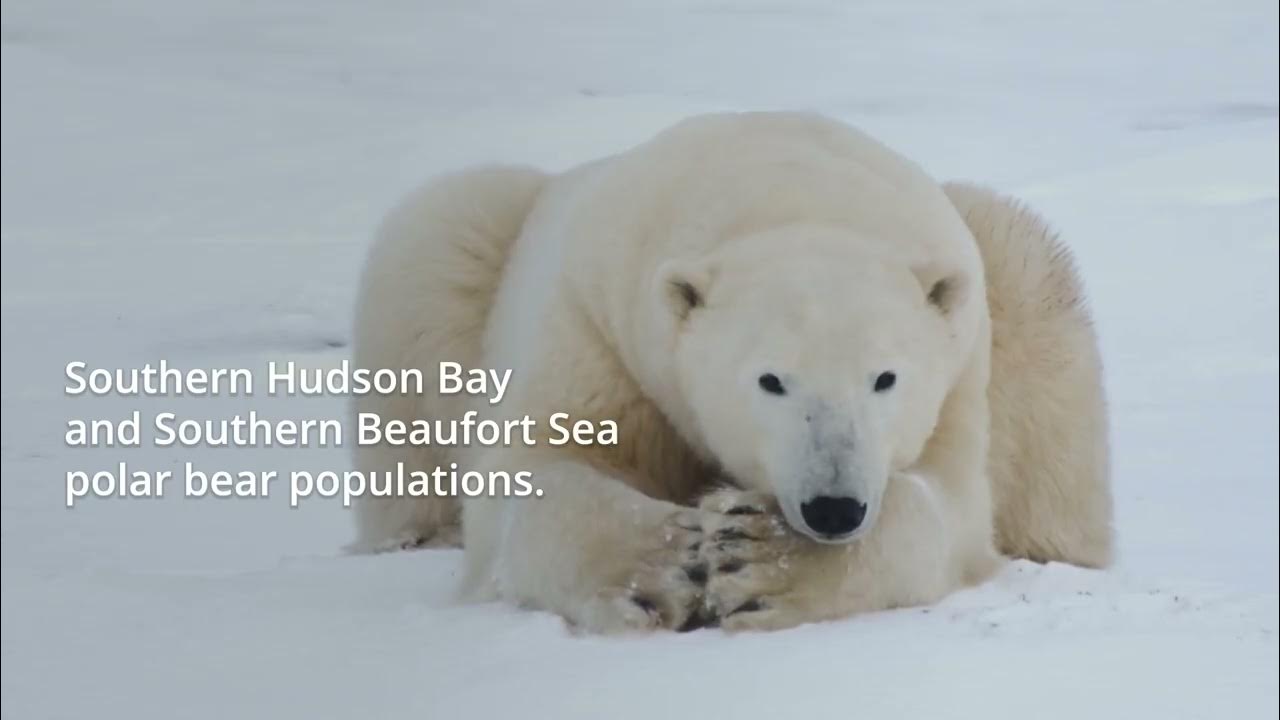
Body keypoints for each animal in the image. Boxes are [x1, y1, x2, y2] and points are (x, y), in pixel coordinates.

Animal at [347, 111, 1113, 633]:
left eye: (885, 378)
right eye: (771, 380)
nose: (833, 507)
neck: (789, 195)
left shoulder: (957, 369)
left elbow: (947, 508)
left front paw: (755, 555)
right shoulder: (596, 320)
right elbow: (533, 472)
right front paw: (665, 563)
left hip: (1007, 280)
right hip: (475, 251)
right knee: (431, 254)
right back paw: (413, 532)